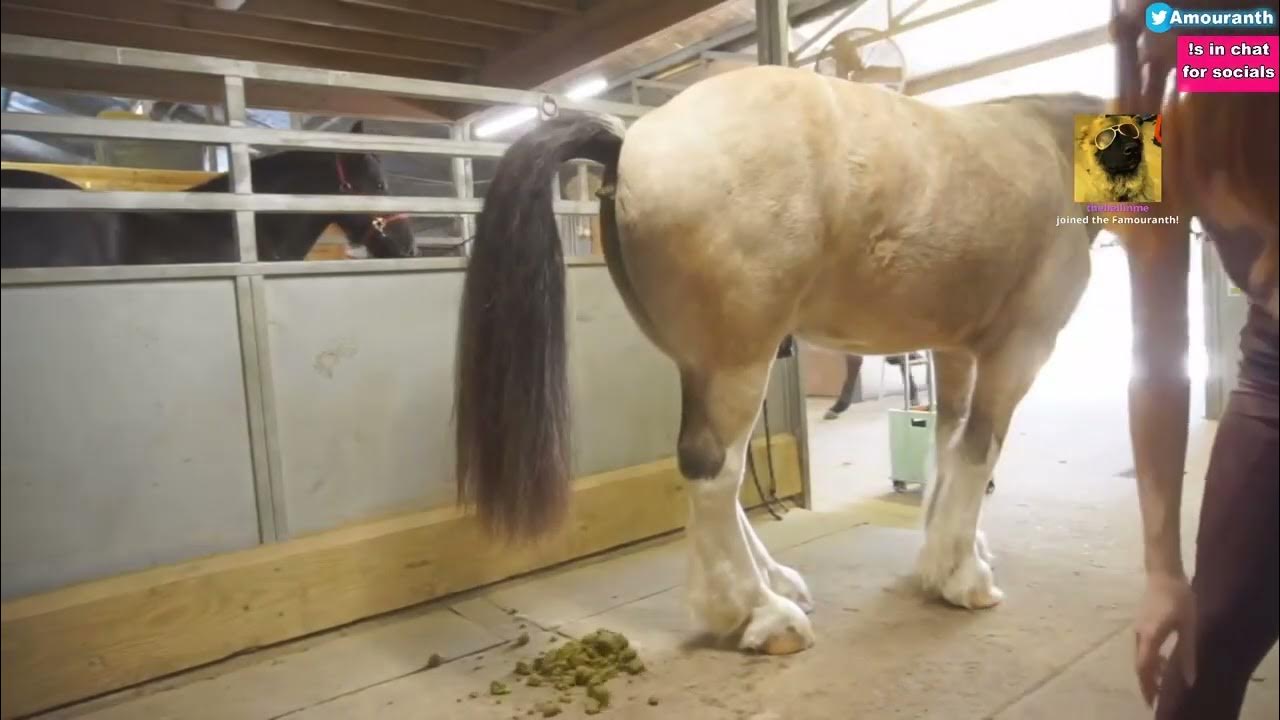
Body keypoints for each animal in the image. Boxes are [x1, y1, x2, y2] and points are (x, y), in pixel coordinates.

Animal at [455, 64, 1105, 655]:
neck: (1049, 144)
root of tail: (632, 141)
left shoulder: (952, 348)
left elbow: (945, 447)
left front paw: (943, 558)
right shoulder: (1018, 350)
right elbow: (977, 452)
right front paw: (966, 580)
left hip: (705, 365)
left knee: (718, 467)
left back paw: (769, 586)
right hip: (740, 362)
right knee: (714, 470)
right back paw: (759, 615)